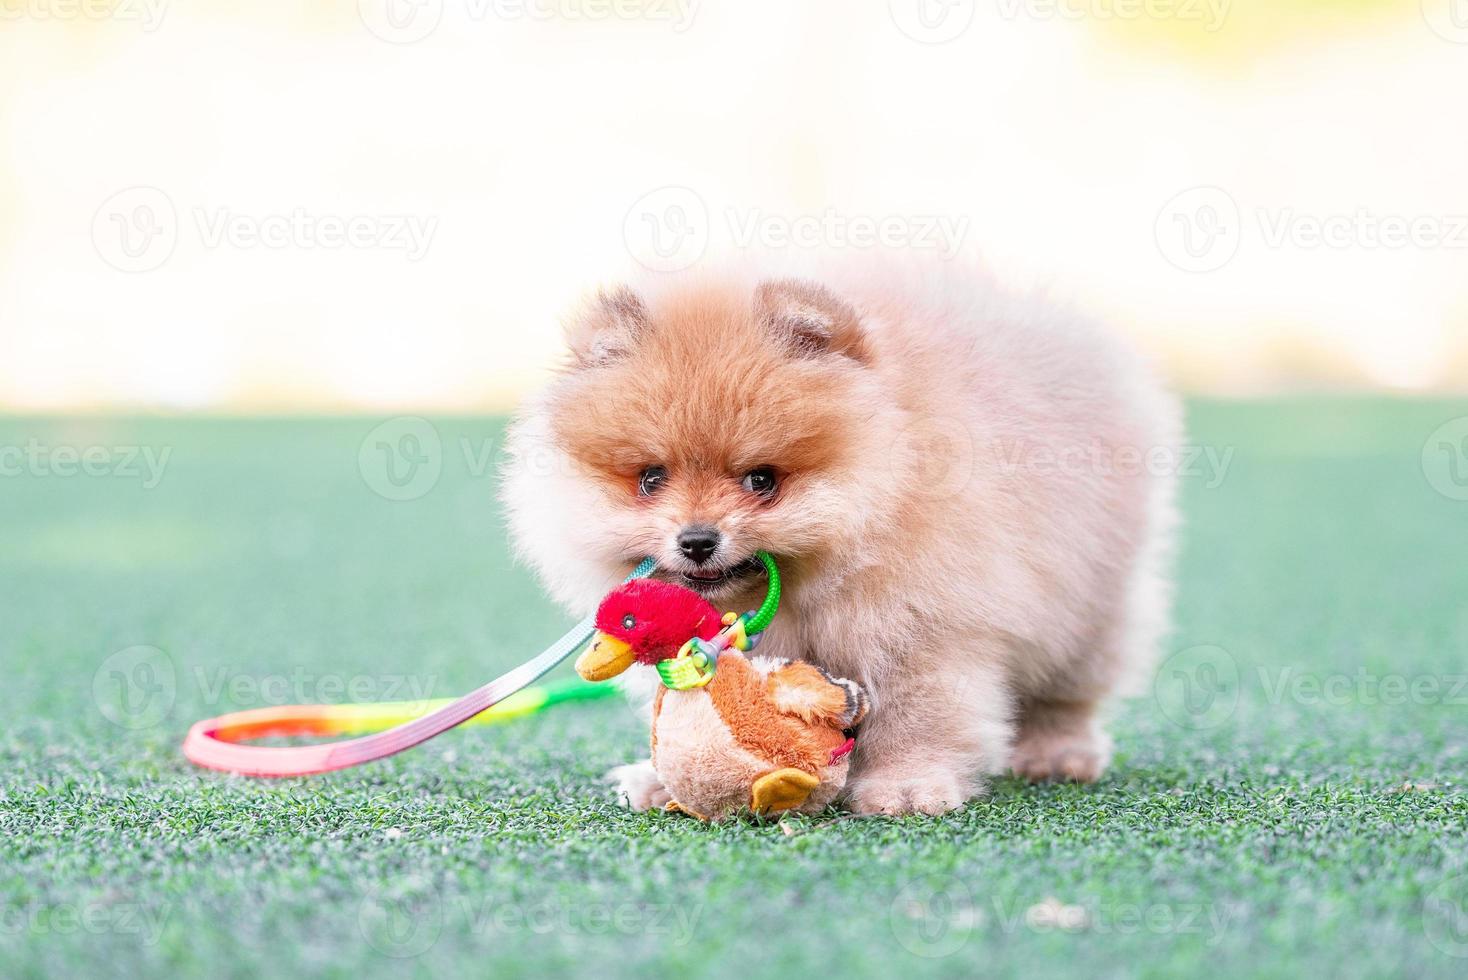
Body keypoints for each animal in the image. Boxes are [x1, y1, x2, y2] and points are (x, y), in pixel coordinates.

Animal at [504, 256, 1180, 815]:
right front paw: (659, 779)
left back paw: (1056, 753)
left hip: (1092, 600)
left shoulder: (922, 625)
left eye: (761, 479)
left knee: (1069, 688)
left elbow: (917, 716)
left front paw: (906, 787)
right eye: (651, 478)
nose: (697, 540)